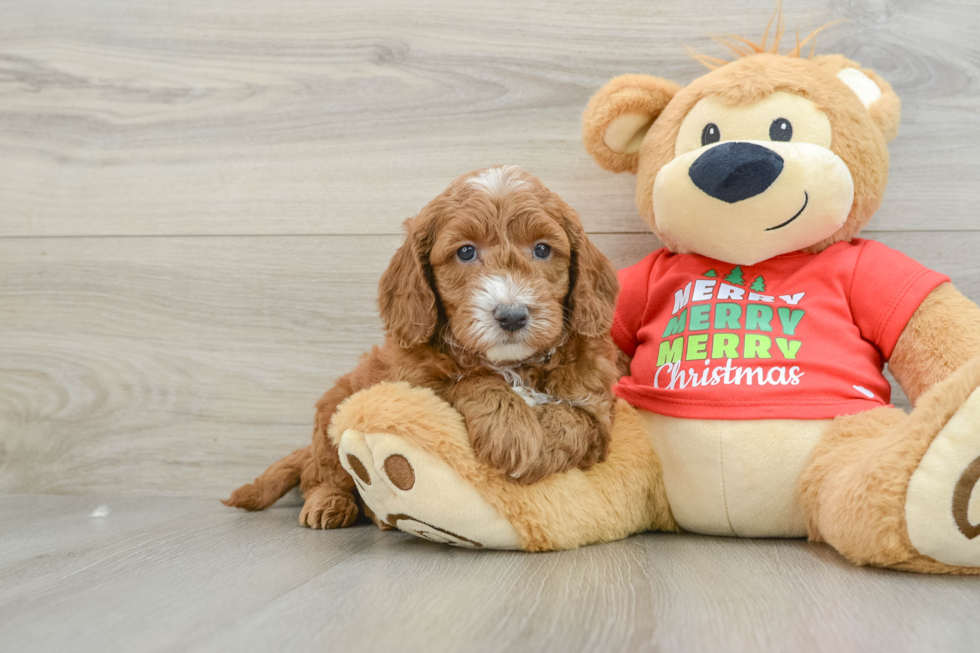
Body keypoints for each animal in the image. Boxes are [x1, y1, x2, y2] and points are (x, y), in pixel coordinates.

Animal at [226, 166, 616, 528]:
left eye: (542, 249)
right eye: (466, 252)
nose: (512, 315)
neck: (514, 365)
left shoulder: (598, 407)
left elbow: (573, 419)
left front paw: (538, 449)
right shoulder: (414, 385)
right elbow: (471, 381)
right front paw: (513, 431)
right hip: (333, 411)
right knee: (320, 472)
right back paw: (329, 504)